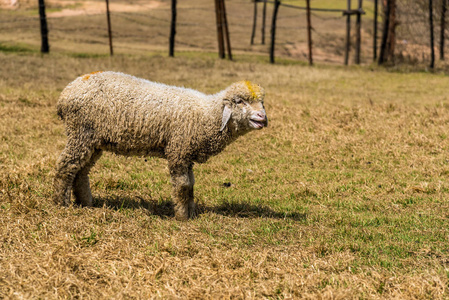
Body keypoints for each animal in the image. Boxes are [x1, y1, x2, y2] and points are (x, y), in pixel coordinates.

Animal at [54, 71, 268, 219]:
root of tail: (66, 92)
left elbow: (191, 185)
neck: (206, 115)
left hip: (93, 141)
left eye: (262, 102)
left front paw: (191, 212)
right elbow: (182, 186)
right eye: (239, 101)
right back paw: (61, 203)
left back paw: (86, 203)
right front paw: (182, 217)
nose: (262, 117)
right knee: (66, 166)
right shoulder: (178, 150)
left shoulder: (186, 153)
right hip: (80, 132)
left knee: (81, 171)